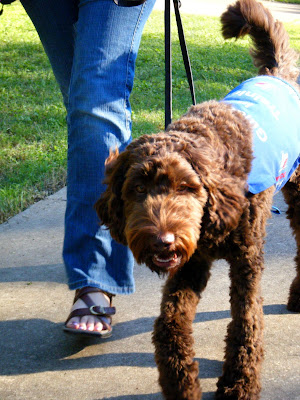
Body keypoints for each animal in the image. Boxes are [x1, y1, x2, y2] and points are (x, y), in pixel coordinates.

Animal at [95, 1, 298, 398]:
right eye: (137, 189)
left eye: (187, 188)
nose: (162, 240)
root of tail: (275, 74)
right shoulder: (191, 261)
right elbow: (168, 323)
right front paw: (181, 381)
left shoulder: (247, 262)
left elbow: (246, 323)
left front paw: (238, 384)